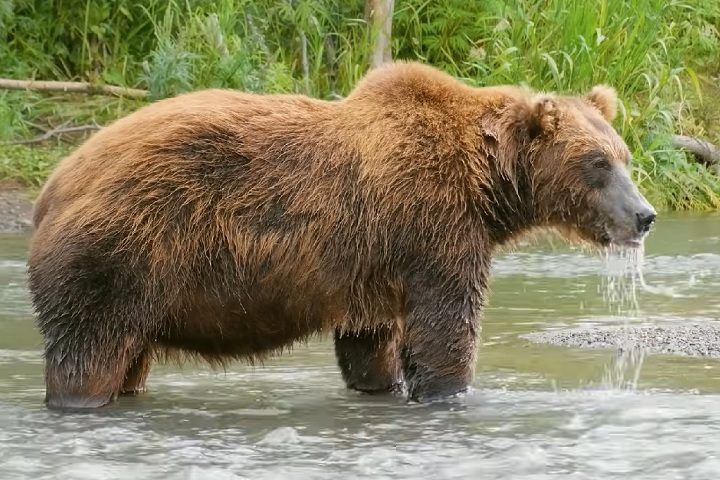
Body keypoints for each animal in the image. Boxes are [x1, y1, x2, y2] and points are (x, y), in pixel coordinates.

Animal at [27, 62, 656, 410]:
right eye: (598, 163)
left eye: (624, 156)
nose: (645, 216)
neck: (485, 186)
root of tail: (52, 186)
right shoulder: (431, 227)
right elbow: (445, 329)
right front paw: (449, 391)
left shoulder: (375, 263)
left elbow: (371, 343)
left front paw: (380, 384)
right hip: (120, 251)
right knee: (87, 353)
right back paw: (78, 398)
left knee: (128, 357)